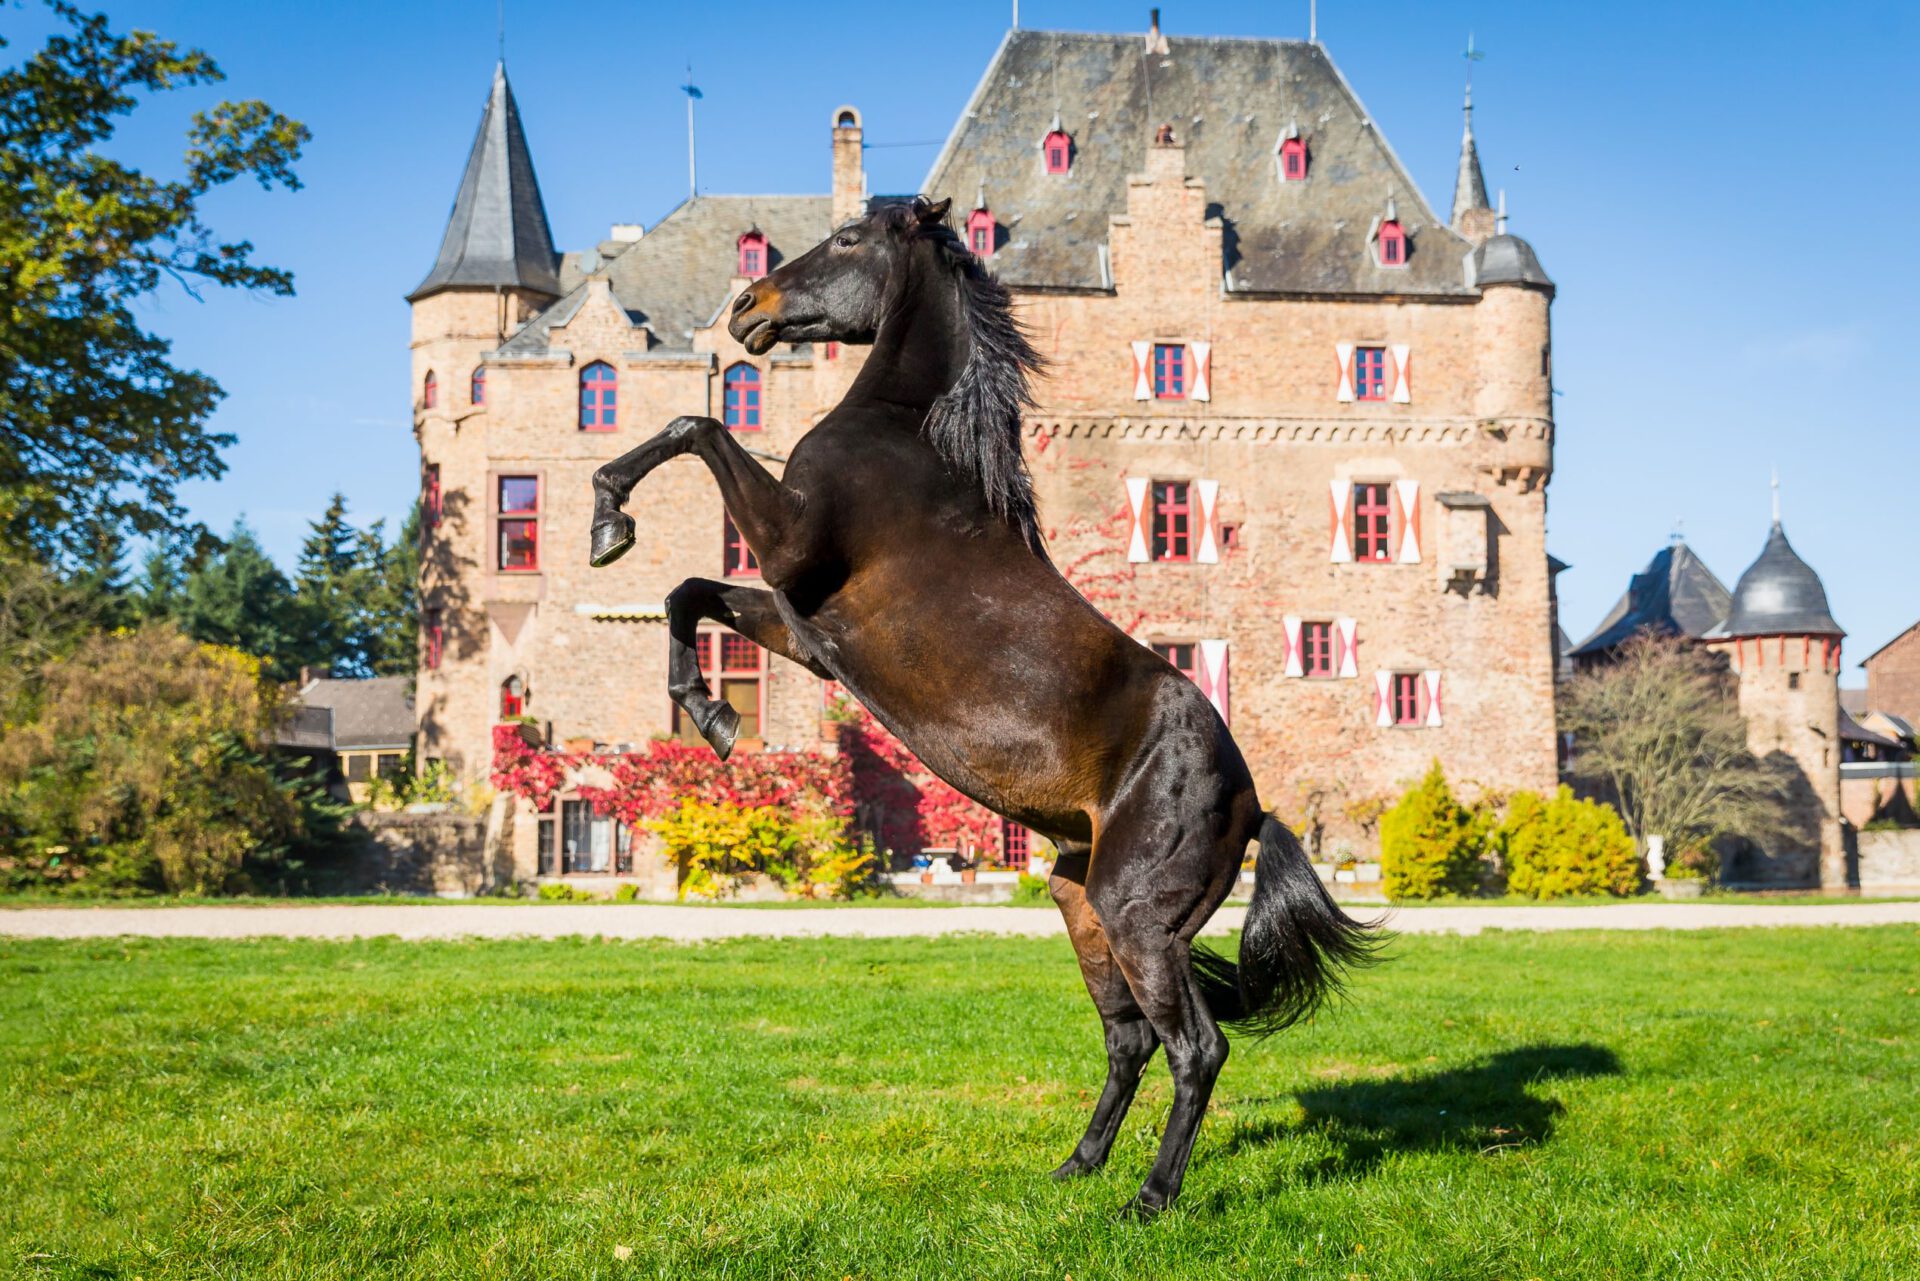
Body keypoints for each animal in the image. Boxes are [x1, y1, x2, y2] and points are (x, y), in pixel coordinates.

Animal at [587, 195, 1382, 1221]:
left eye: (848, 239)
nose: (746, 308)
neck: (908, 434)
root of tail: (1255, 805)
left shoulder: (791, 546)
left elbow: (695, 425)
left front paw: (609, 517)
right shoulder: (807, 631)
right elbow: (687, 590)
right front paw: (709, 709)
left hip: (1136, 916)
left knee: (1196, 1047)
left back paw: (1150, 1197)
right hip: (1082, 903)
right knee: (1129, 1039)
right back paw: (1077, 1165)